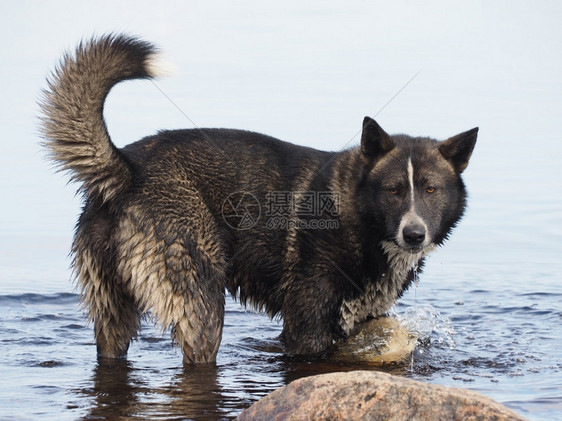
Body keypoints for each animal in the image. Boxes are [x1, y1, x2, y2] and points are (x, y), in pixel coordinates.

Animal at [40, 34, 476, 362]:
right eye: (394, 190)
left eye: (431, 190)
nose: (414, 234)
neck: (356, 215)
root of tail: (127, 169)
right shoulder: (306, 328)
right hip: (201, 303)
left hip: (113, 312)